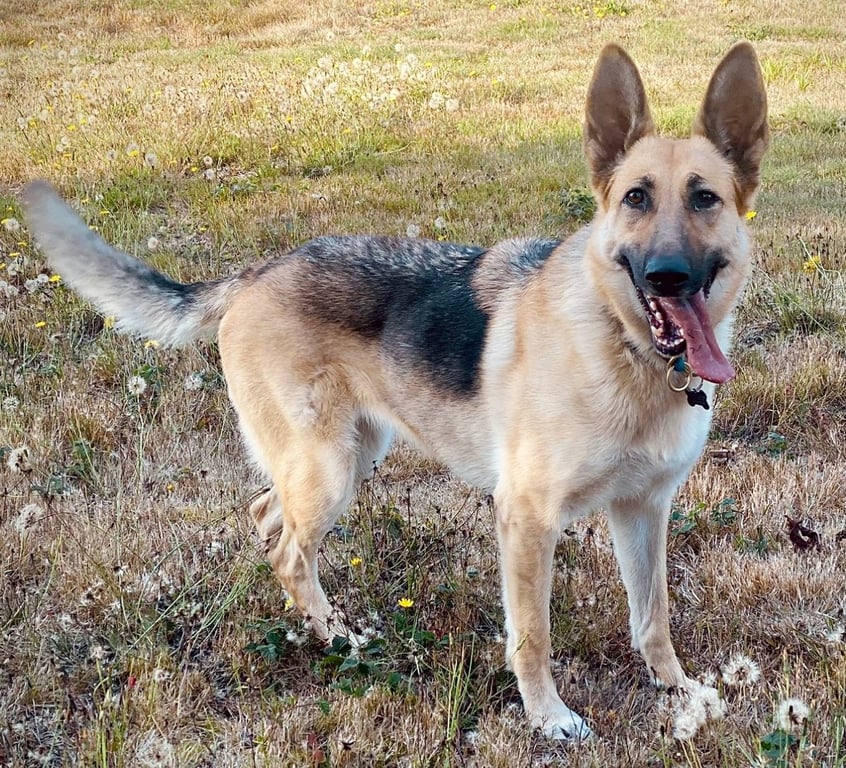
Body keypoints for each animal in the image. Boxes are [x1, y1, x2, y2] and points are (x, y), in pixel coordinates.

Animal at [22, 41, 768, 739]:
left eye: (704, 197)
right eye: (636, 197)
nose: (668, 275)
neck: (627, 349)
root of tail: (256, 274)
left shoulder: (643, 510)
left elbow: (653, 617)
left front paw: (677, 688)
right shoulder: (527, 519)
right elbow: (533, 637)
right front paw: (547, 716)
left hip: (347, 455)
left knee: (267, 519)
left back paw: (311, 621)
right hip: (329, 469)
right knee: (291, 551)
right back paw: (338, 637)